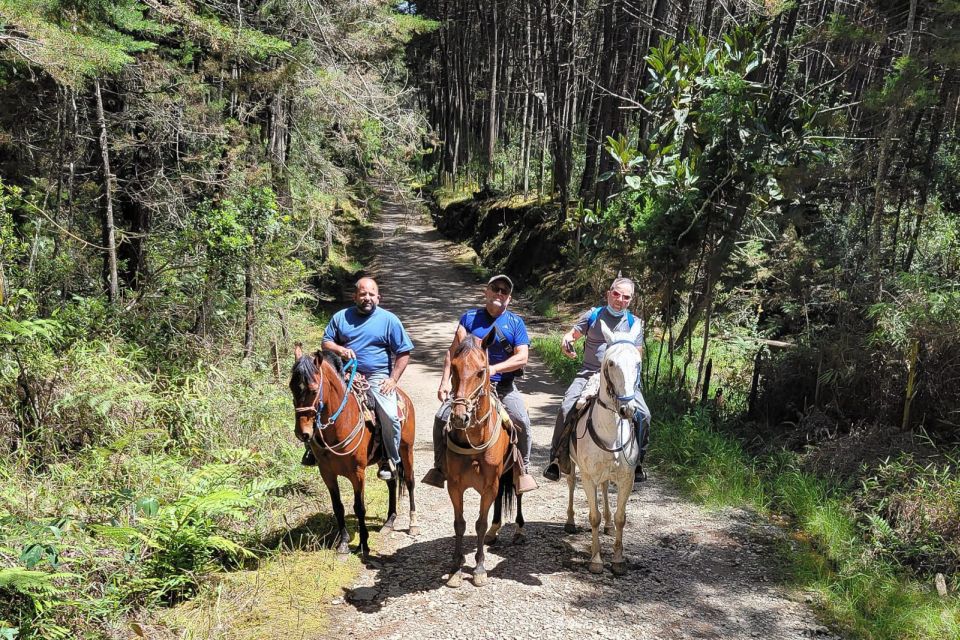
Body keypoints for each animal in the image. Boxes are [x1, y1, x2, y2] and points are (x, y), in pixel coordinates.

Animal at [288, 342, 416, 556]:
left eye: (313, 390)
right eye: (291, 388)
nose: (302, 433)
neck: (338, 425)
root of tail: (403, 396)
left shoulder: (358, 473)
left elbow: (359, 507)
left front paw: (363, 544)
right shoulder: (327, 473)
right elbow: (338, 506)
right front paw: (343, 543)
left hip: (407, 450)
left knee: (409, 481)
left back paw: (413, 523)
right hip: (384, 459)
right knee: (392, 482)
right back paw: (389, 521)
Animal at [444, 332, 520, 588]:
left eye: (481, 371)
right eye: (454, 368)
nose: (460, 417)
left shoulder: (489, 485)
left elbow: (480, 523)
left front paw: (478, 568)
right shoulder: (455, 485)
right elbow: (460, 523)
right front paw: (456, 567)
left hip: (512, 473)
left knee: (518, 494)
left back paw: (519, 530)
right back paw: (494, 532)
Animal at [564, 320, 644, 576]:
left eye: (638, 363)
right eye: (611, 363)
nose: (628, 409)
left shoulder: (627, 478)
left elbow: (620, 517)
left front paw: (618, 560)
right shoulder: (588, 477)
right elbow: (594, 517)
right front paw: (596, 560)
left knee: (606, 489)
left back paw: (608, 525)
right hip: (572, 467)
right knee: (571, 484)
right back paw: (570, 521)